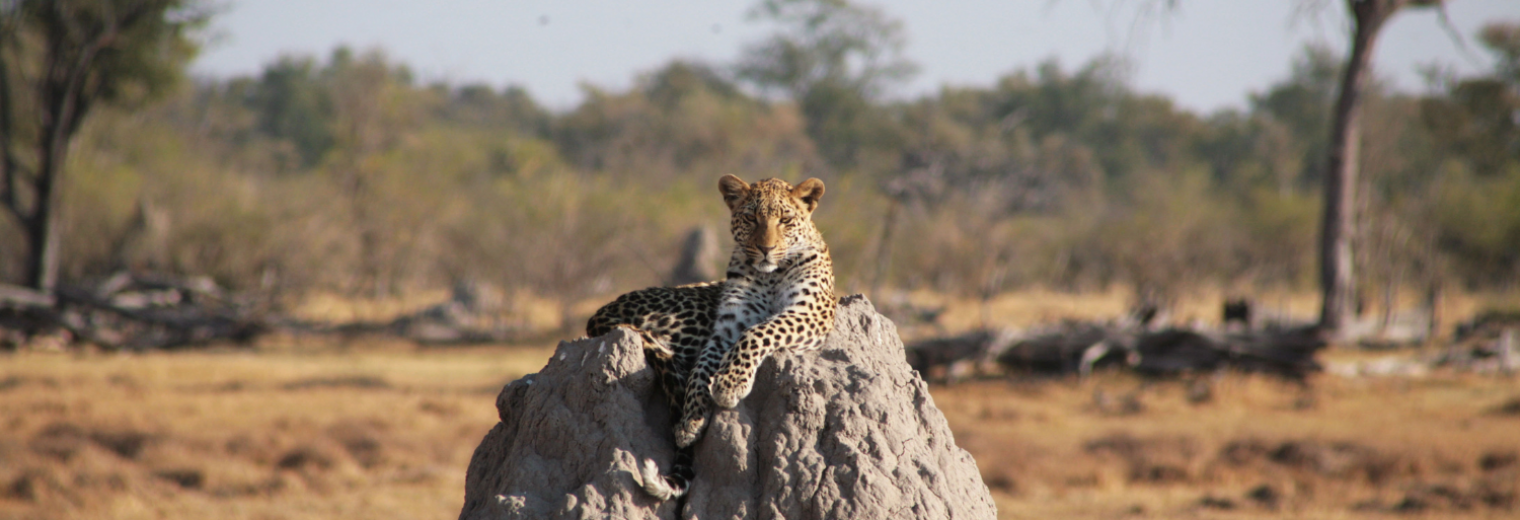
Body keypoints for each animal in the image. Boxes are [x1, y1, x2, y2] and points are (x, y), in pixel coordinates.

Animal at [583, 174, 845, 498]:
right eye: (751, 218)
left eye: (785, 220)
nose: (766, 248)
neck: (770, 274)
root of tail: (600, 311)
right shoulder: (727, 327)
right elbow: (701, 368)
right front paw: (691, 421)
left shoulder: (811, 312)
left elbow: (759, 331)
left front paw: (728, 386)